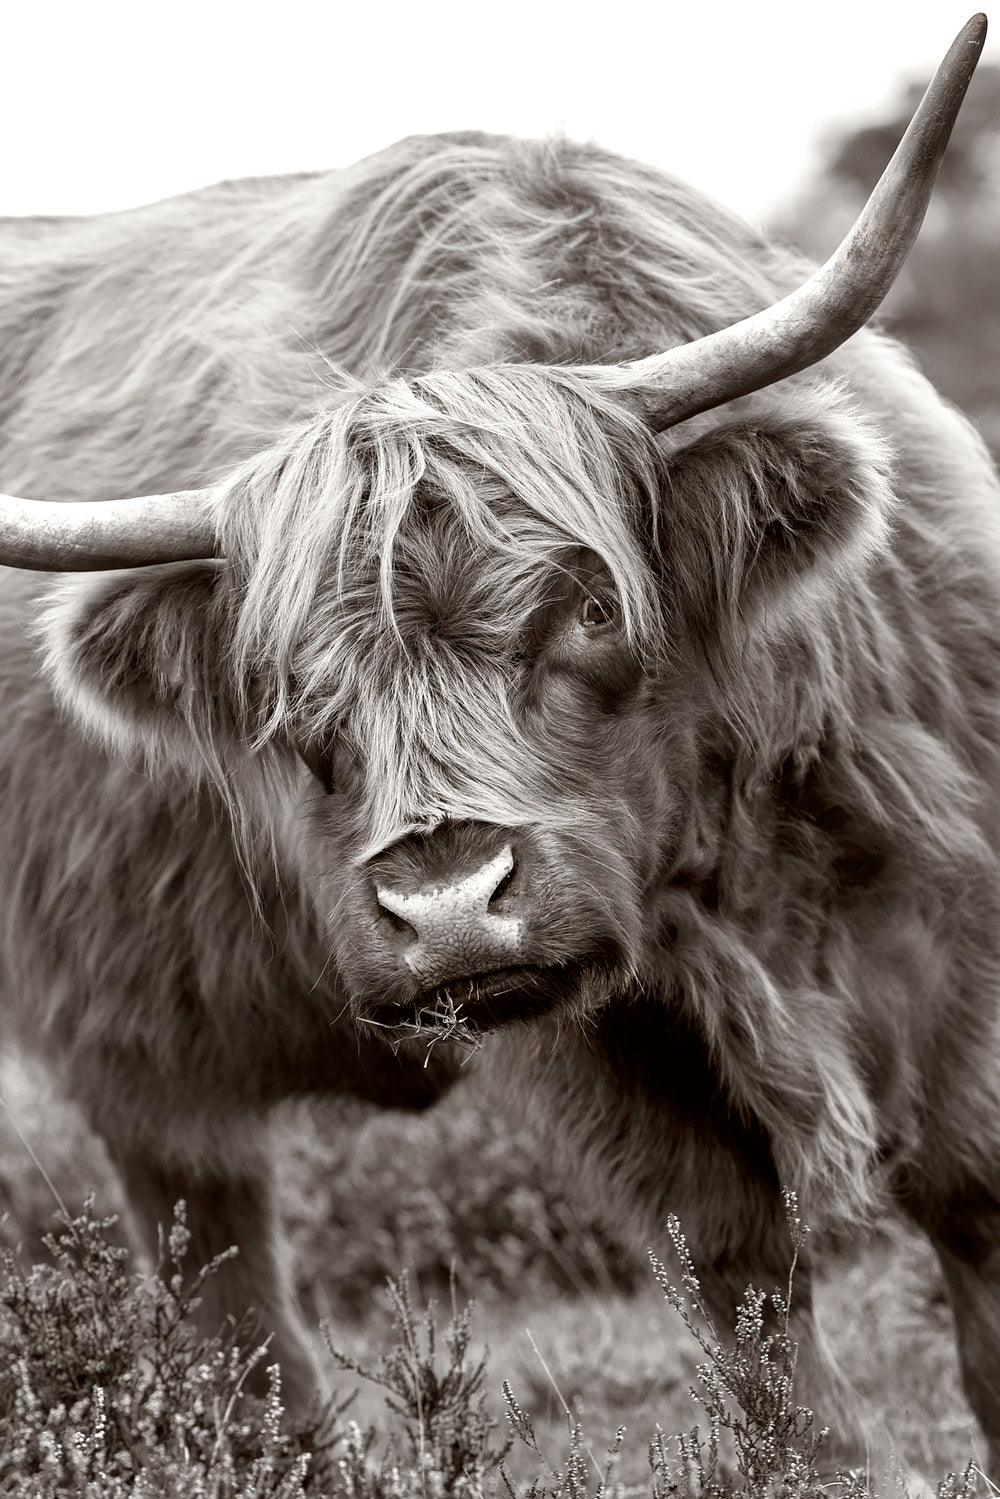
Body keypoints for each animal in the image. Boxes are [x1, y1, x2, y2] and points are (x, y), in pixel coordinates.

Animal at [0, 12, 996, 1483]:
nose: (447, 904)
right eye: (289, 687)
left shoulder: (952, 903)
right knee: (217, 1258)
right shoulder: (599, 1039)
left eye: (588, 606)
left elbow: (973, 1190)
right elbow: (734, 1265)